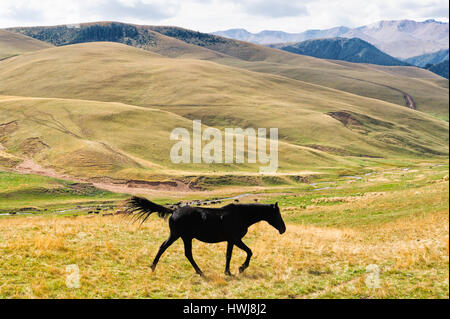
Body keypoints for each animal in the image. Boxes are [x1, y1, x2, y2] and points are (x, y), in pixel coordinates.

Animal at [124, 196, 284, 276]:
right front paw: (239, 269)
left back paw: (154, 267)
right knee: (175, 250)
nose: (283, 229)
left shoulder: (231, 240)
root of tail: (173, 211)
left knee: (176, 251)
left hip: (182, 236)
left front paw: (229, 271)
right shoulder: (235, 239)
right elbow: (248, 252)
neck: (240, 215)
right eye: (277, 214)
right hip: (180, 236)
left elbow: (230, 255)